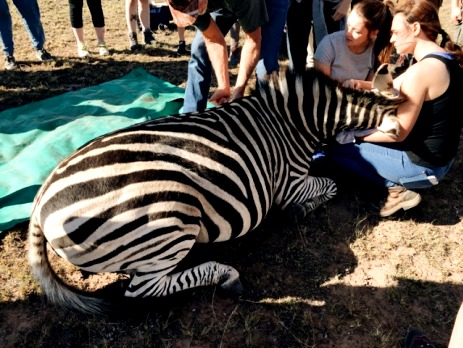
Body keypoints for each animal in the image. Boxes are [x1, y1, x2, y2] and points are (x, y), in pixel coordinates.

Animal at [29, 66, 406, 314]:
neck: (295, 121)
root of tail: (40, 201)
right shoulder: (290, 183)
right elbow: (331, 184)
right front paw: (301, 209)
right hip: (170, 217)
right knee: (143, 289)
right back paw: (226, 275)